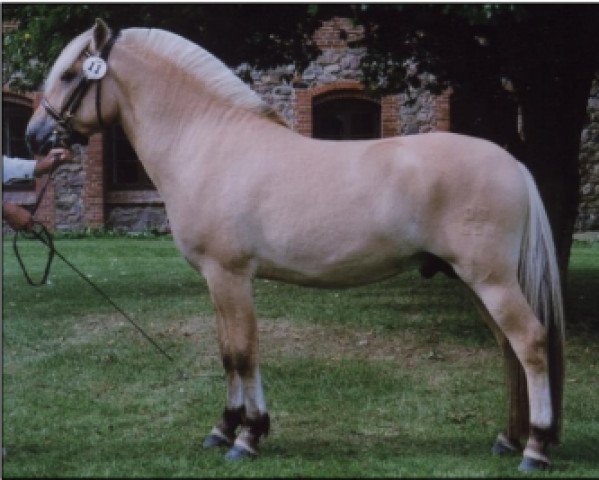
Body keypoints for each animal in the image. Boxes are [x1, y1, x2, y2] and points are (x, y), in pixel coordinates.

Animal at [25, 19, 564, 472]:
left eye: (71, 73)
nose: (34, 136)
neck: (207, 142)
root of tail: (513, 164)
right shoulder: (215, 281)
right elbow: (227, 353)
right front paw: (224, 429)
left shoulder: (230, 276)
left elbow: (244, 352)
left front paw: (247, 438)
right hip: (475, 282)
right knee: (508, 350)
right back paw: (508, 438)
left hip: (490, 280)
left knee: (531, 343)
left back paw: (535, 448)